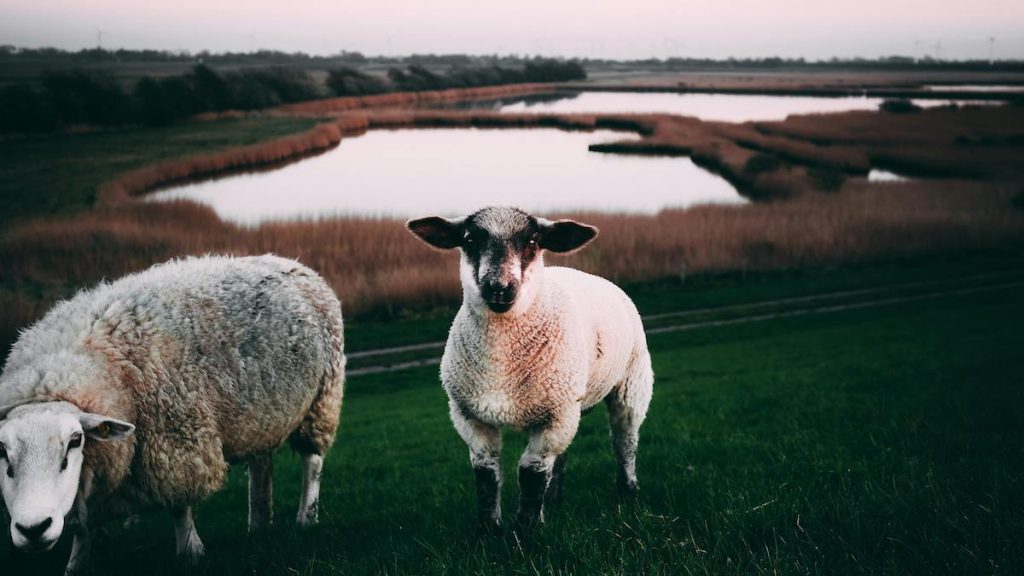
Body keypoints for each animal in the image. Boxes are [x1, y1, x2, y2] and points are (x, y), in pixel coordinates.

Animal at [0, 254, 348, 569]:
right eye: (2, 453)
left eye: (75, 441)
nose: (33, 529)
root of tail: (293, 263)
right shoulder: (100, 473)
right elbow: (86, 528)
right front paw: (76, 565)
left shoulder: (175, 441)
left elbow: (180, 506)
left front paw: (190, 551)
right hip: (262, 416)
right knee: (262, 466)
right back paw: (259, 526)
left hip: (322, 400)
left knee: (312, 462)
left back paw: (306, 517)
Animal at [407, 206, 655, 528]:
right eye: (470, 239)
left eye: (533, 242)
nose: (499, 288)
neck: (500, 363)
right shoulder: (468, 415)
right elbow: (486, 474)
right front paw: (490, 530)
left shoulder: (556, 416)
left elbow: (531, 472)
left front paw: (528, 529)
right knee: (563, 455)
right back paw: (555, 500)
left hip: (631, 383)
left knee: (624, 440)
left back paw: (628, 491)